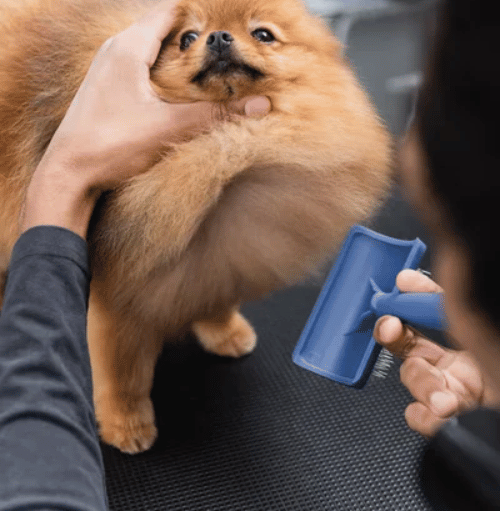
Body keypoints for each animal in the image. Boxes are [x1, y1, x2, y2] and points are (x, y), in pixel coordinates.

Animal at [0, 0, 392, 452]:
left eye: (263, 34)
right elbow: (123, 370)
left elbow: (217, 293)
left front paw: (224, 331)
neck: (224, 166)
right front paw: (126, 423)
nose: (219, 37)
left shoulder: (221, 256)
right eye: (186, 38)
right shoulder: (120, 291)